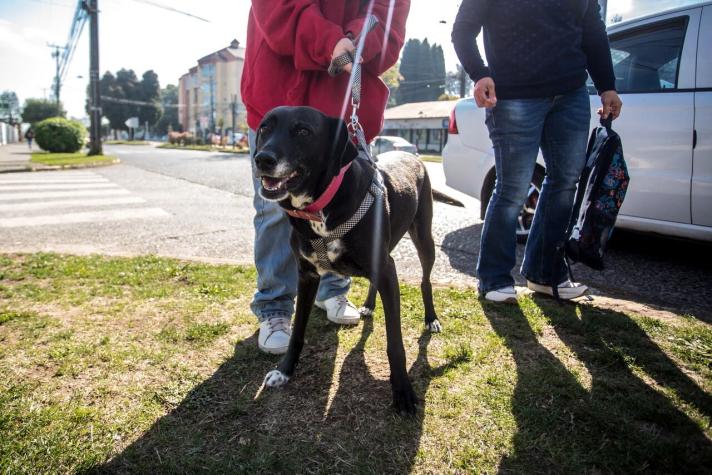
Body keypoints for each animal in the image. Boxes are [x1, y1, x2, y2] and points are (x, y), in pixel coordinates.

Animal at [253, 106, 442, 414]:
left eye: (303, 131)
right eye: (264, 128)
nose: (263, 159)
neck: (320, 210)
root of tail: (413, 156)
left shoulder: (386, 269)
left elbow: (395, 343)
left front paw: (402, 391)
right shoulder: (307, 275)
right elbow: (297, 332)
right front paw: (285, 370)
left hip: (424, 239)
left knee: (425, 280)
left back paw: (431, 318)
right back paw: (368, 305)